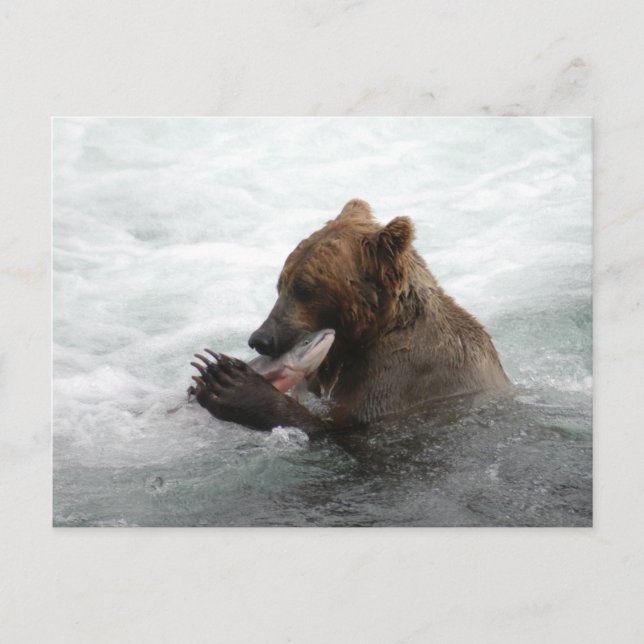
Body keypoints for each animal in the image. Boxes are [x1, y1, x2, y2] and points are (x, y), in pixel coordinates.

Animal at [191, 199, 510, 435]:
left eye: (304, 288)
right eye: (281, 283)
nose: (260, 338)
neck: (369, 335)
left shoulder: (400, 380)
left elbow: (337, 429)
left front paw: (232, 385)